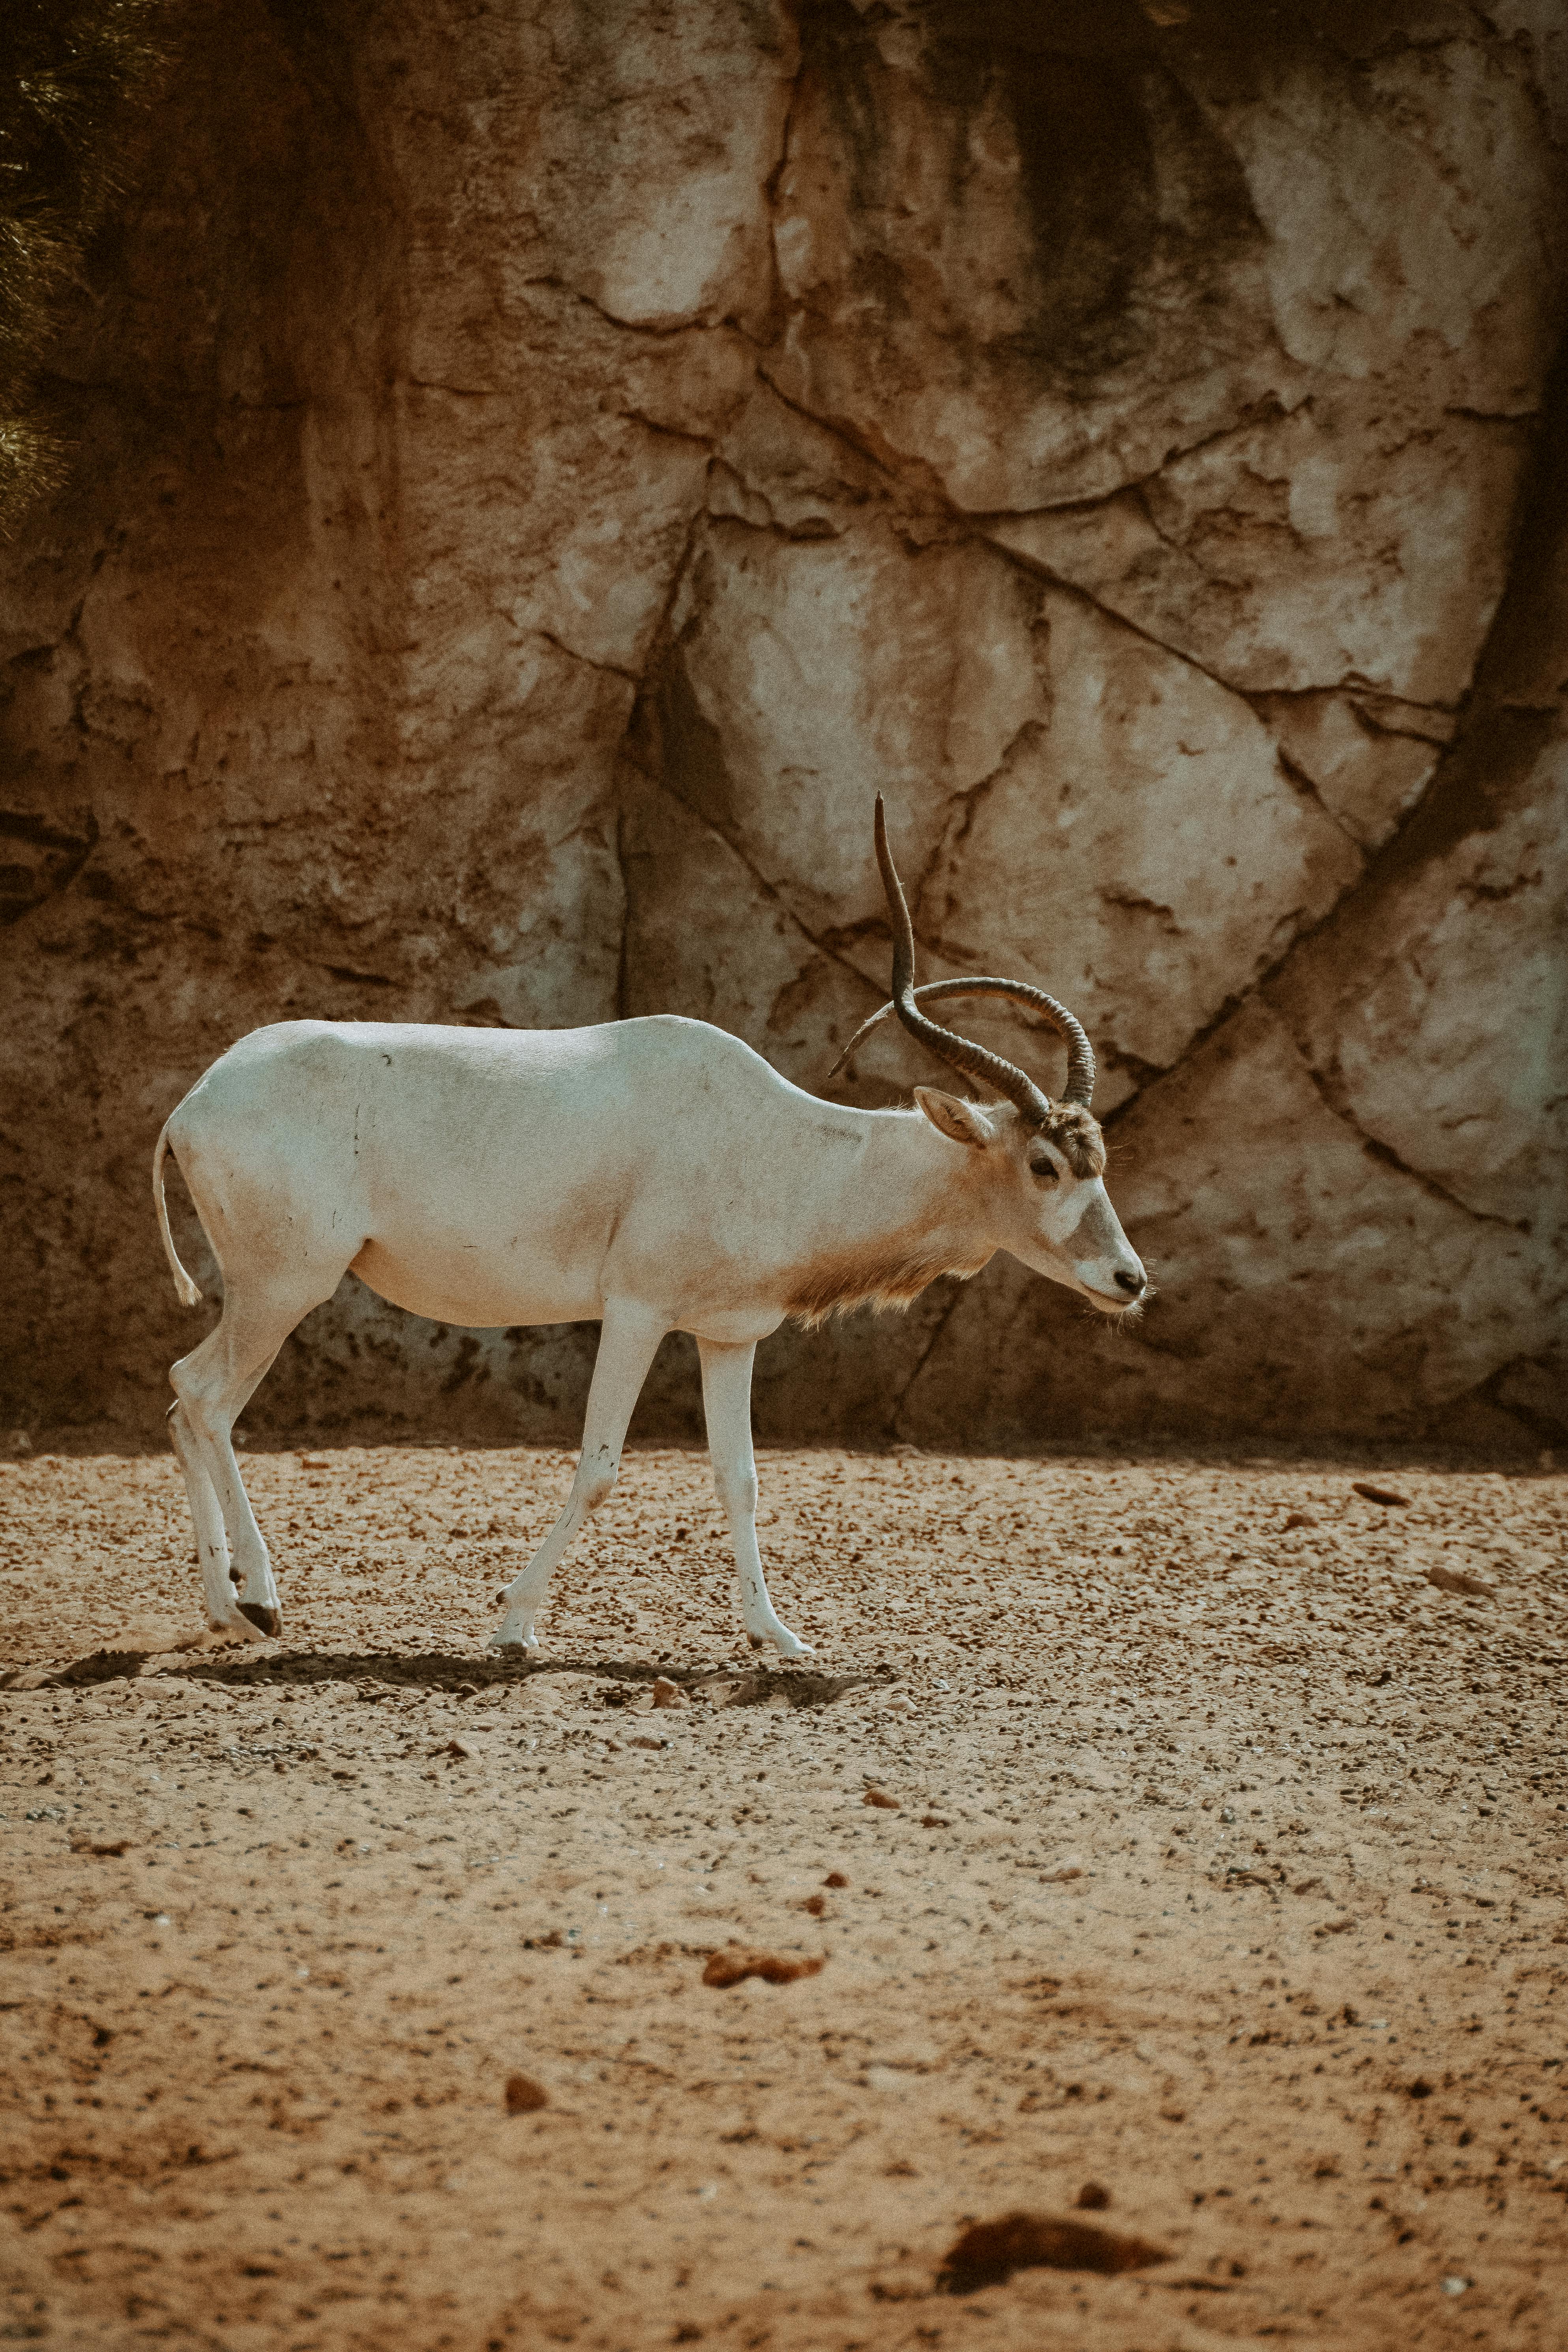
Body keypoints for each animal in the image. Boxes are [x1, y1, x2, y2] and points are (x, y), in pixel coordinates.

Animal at [153, 799, 1146, 1656]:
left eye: (1095, 1157)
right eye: (1045, 1164)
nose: (1129, 1280)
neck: (771, 1140)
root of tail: (192, 1104)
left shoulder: (728, 1333)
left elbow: (740, 1479)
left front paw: (776, 1636)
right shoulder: (634, 1311)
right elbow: (599, 1467)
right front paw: (514, 1624)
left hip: (269, 1290)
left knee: (184, 1395)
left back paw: (223, 1605)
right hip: (285, 1286)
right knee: (205, 1396)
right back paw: (254, 1604)